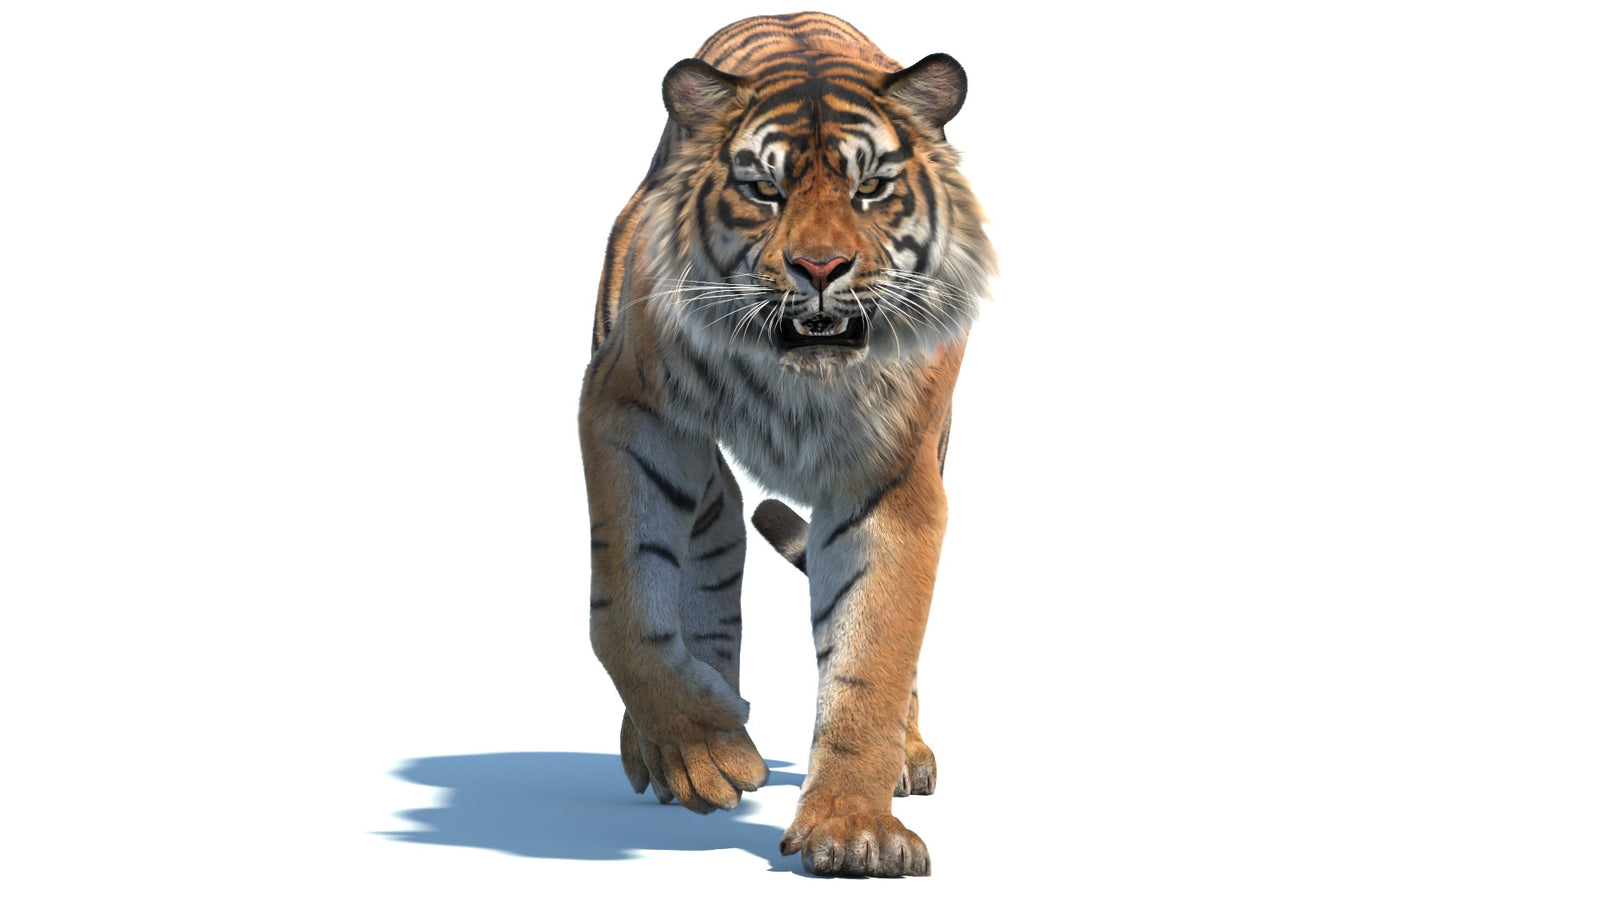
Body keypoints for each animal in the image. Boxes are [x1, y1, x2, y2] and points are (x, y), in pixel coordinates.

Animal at [579, 11, 996, 877]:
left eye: (871, 188)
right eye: (763, 190)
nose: (820, 267)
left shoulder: (893, 477)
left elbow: (873, 651)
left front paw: (852, 828)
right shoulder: (628, 410)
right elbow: (626, 607)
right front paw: (698, 751)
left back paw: (904, 754)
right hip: (704, 490)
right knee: (704, 583)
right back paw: (680, 744)